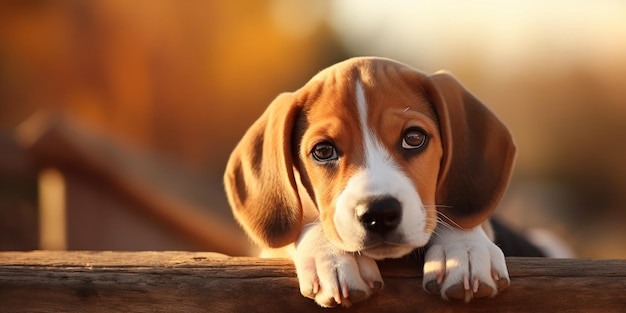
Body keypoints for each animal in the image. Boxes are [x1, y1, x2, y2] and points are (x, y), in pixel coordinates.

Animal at [223, 56, 512, 308]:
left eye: (414, 138)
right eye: (323, 151)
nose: (379, 213)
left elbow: (457, 216)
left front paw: (465, 249)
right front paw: (333, 258)